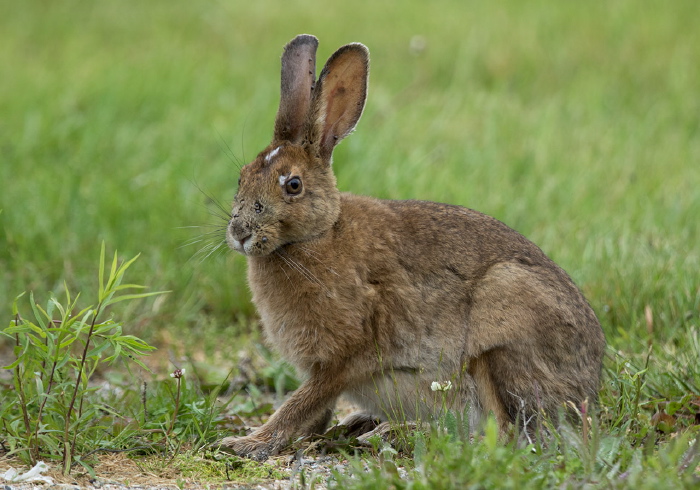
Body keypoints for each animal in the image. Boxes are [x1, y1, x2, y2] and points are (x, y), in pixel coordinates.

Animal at [220, 34, 608, 460]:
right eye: (242, 177)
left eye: (293, 185)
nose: (239, 232)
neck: (318, 236)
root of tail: (587, 387)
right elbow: (315, 408)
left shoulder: (344, 357)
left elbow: (303, 401)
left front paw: (247, 442)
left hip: (498, 336)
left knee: (506, 433)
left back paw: (397, 433)